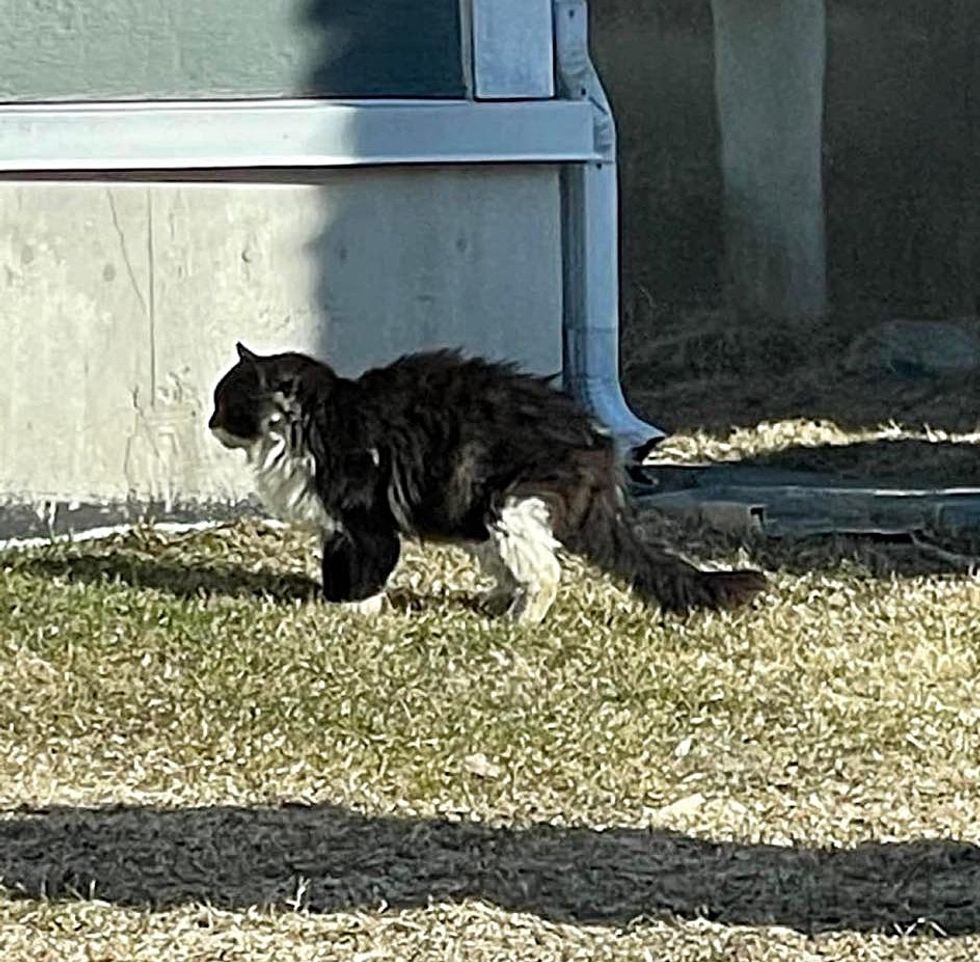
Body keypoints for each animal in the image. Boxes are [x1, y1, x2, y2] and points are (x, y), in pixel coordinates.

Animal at [211, 344, 768, 624]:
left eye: (226, 403)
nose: (209, 423)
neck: (312, 425)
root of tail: (597, 441)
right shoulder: (336, 528)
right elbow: (336, 569)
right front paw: (335, 604)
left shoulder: (365, 522)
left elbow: (366, 572)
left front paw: (356, 614)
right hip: (479, 516)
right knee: (516, 570)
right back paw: (496, 603)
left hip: (511, 505)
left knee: (546, 574)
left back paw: (517, 621)